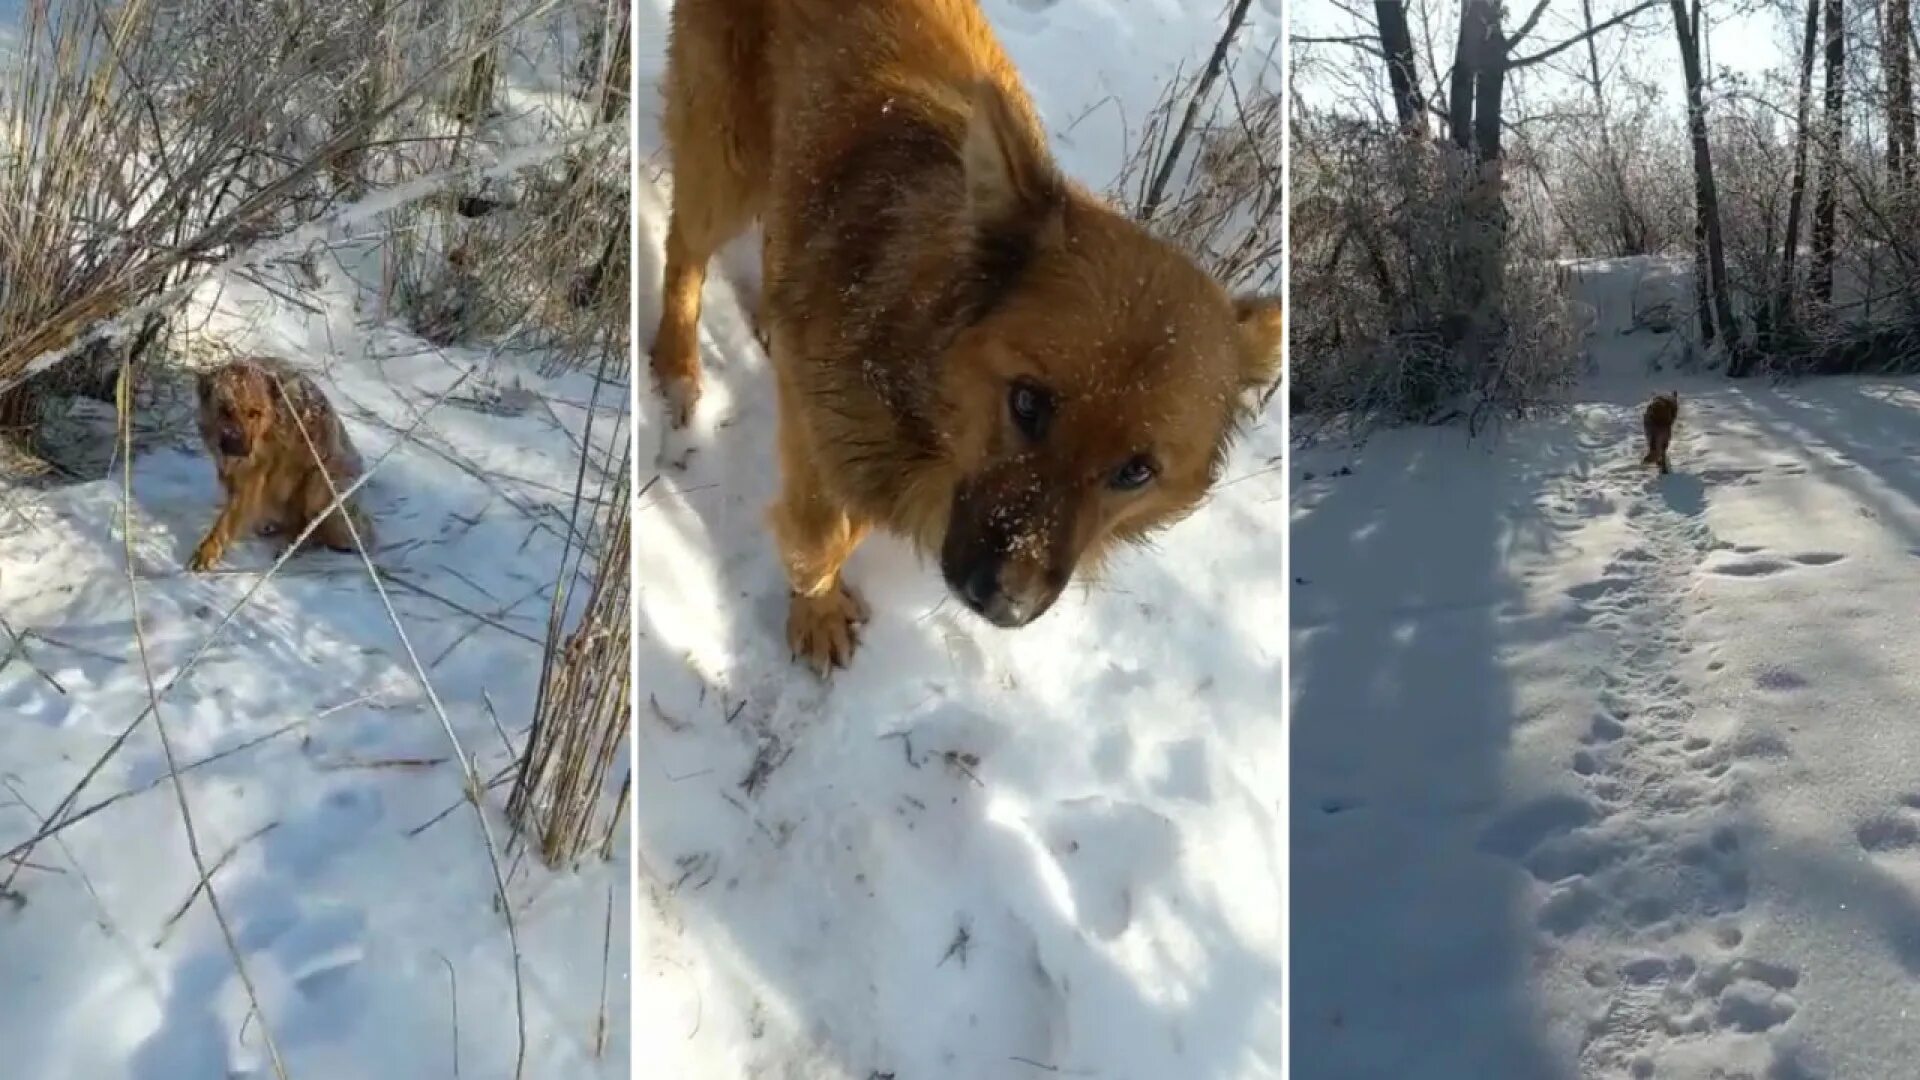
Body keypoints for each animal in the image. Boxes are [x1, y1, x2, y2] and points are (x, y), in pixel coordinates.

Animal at [192, 355, 372, 572]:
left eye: (254, 413)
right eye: (226, 411)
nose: (240, 449)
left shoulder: (253, 475)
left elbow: (226, 522)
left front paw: (208, 550)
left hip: (320, 482)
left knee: (311, 527)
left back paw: (291, 547)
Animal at [648, 0, 1290, 672]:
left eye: (1136, 471)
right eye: (1027, 403)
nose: (1004, 605)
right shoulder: (824, 428)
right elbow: (821, 530)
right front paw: (816, 606)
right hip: (725, 158)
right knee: (685, 248)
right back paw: (677, 366)